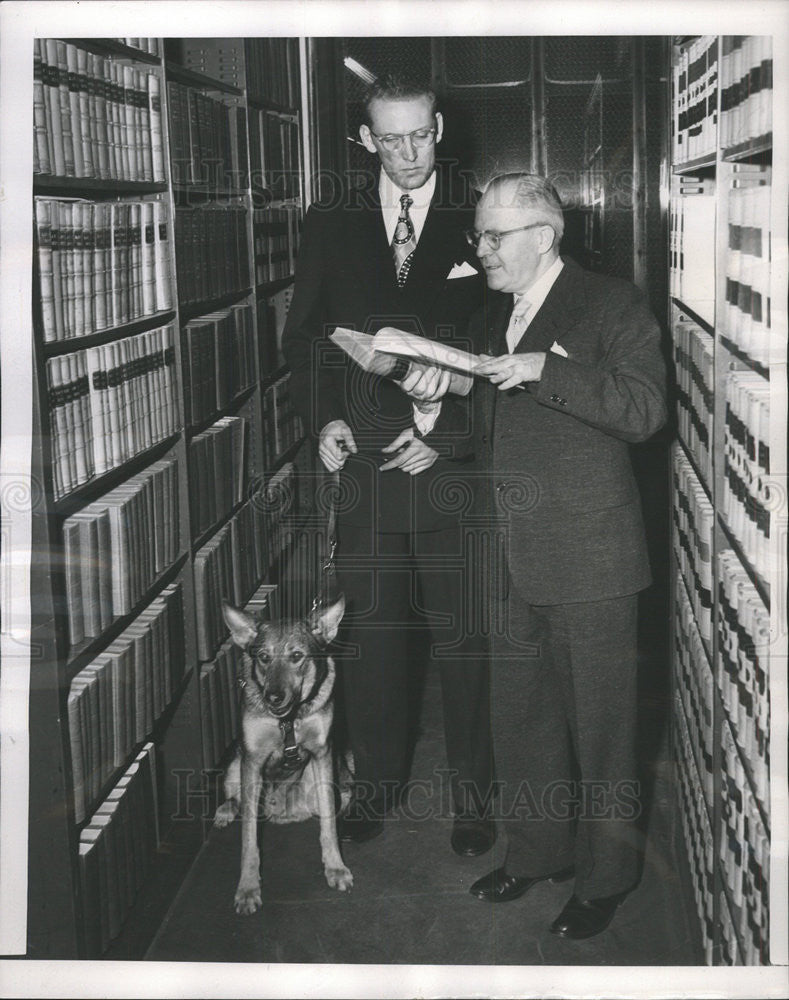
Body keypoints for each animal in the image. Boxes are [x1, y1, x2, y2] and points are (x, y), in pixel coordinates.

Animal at [214, 592, 352, 916]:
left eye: (297, 656)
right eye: (264, 657)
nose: (273, 697)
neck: (288, 719)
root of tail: (283, 812)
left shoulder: (323, 753)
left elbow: (329, 824)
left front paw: (335, 868)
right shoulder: (252, 760)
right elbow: (249, 838)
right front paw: (248, 888)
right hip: (234, 763)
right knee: (236, 799)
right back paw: (226, 810)